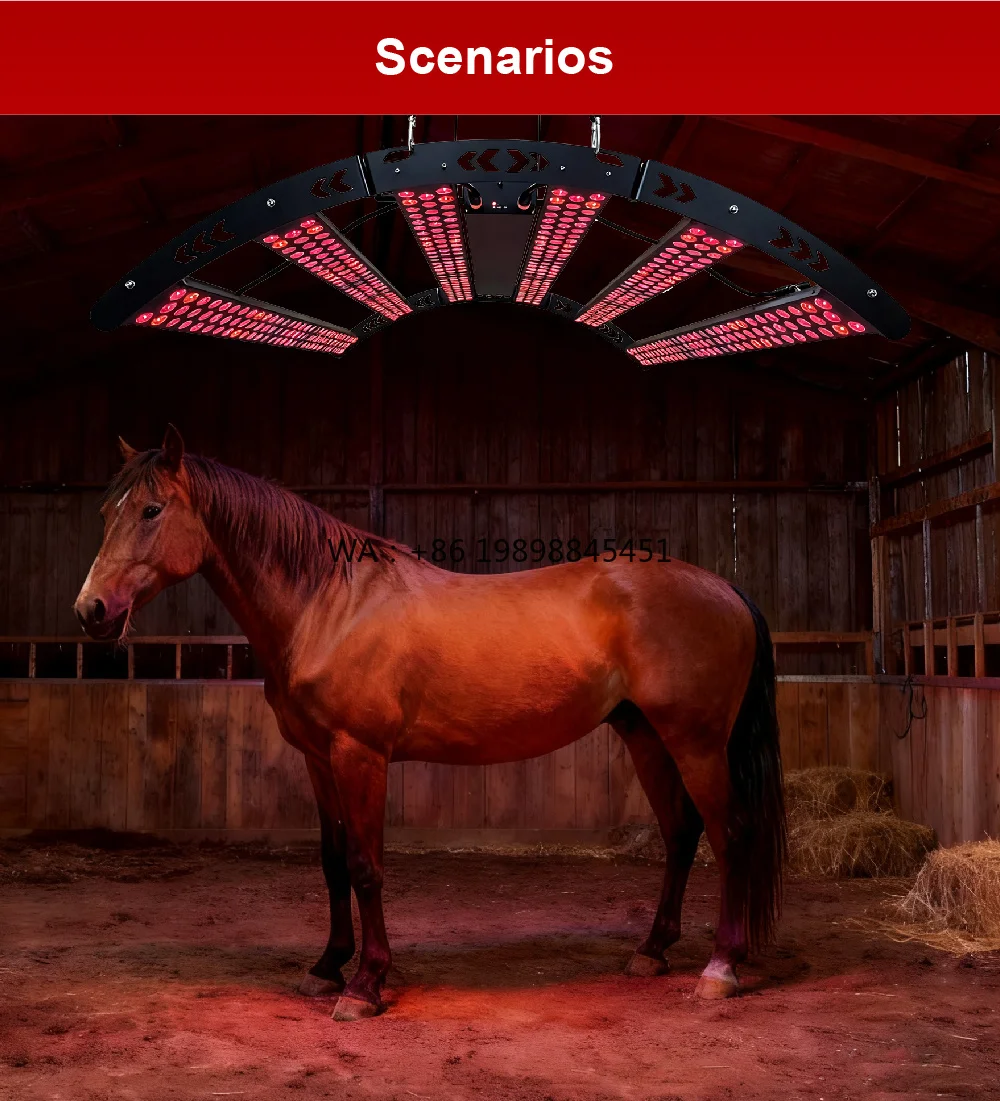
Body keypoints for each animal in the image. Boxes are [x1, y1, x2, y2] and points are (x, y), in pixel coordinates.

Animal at [74, 425, 786, 1021]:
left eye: (152, 510)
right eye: (106, 511)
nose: (92, 610)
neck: (330, 605)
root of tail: (726, 590)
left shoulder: (360, 755)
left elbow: (366, 865)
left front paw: (365, 986)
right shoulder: (318, 758)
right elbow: (333, 862)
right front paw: (327, 967)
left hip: (696, 743)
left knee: (730, 834)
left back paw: (721, 969)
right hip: (646, 737)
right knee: (681, 835)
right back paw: (652, 950)